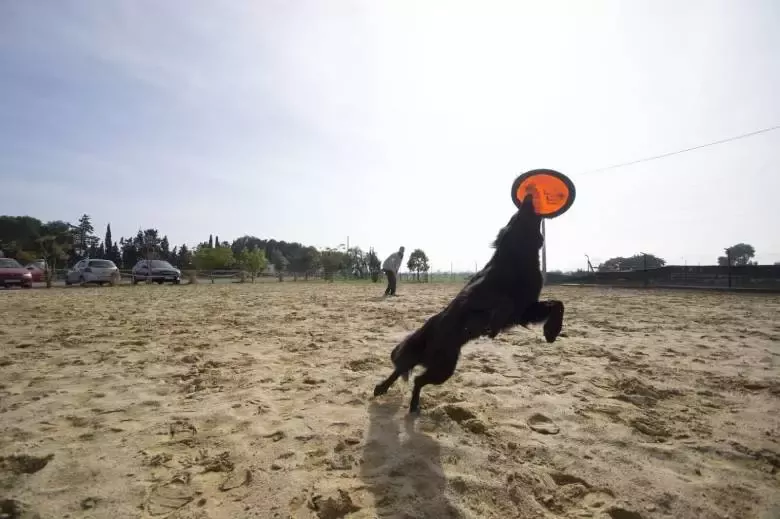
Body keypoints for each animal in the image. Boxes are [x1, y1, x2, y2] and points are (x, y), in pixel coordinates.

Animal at [374, 194, 564, 414]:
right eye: (517, 215)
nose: (529, 196)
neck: (515, 258)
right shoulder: (490, 301)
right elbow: (502, 303)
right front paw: (497, 327)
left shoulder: (525, 310)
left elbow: (557, 303)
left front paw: (551, 332)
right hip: (444, 366)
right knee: (414, 377)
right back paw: (408, 402)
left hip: (437, 362)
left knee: (406, 372)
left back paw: (388, 392)